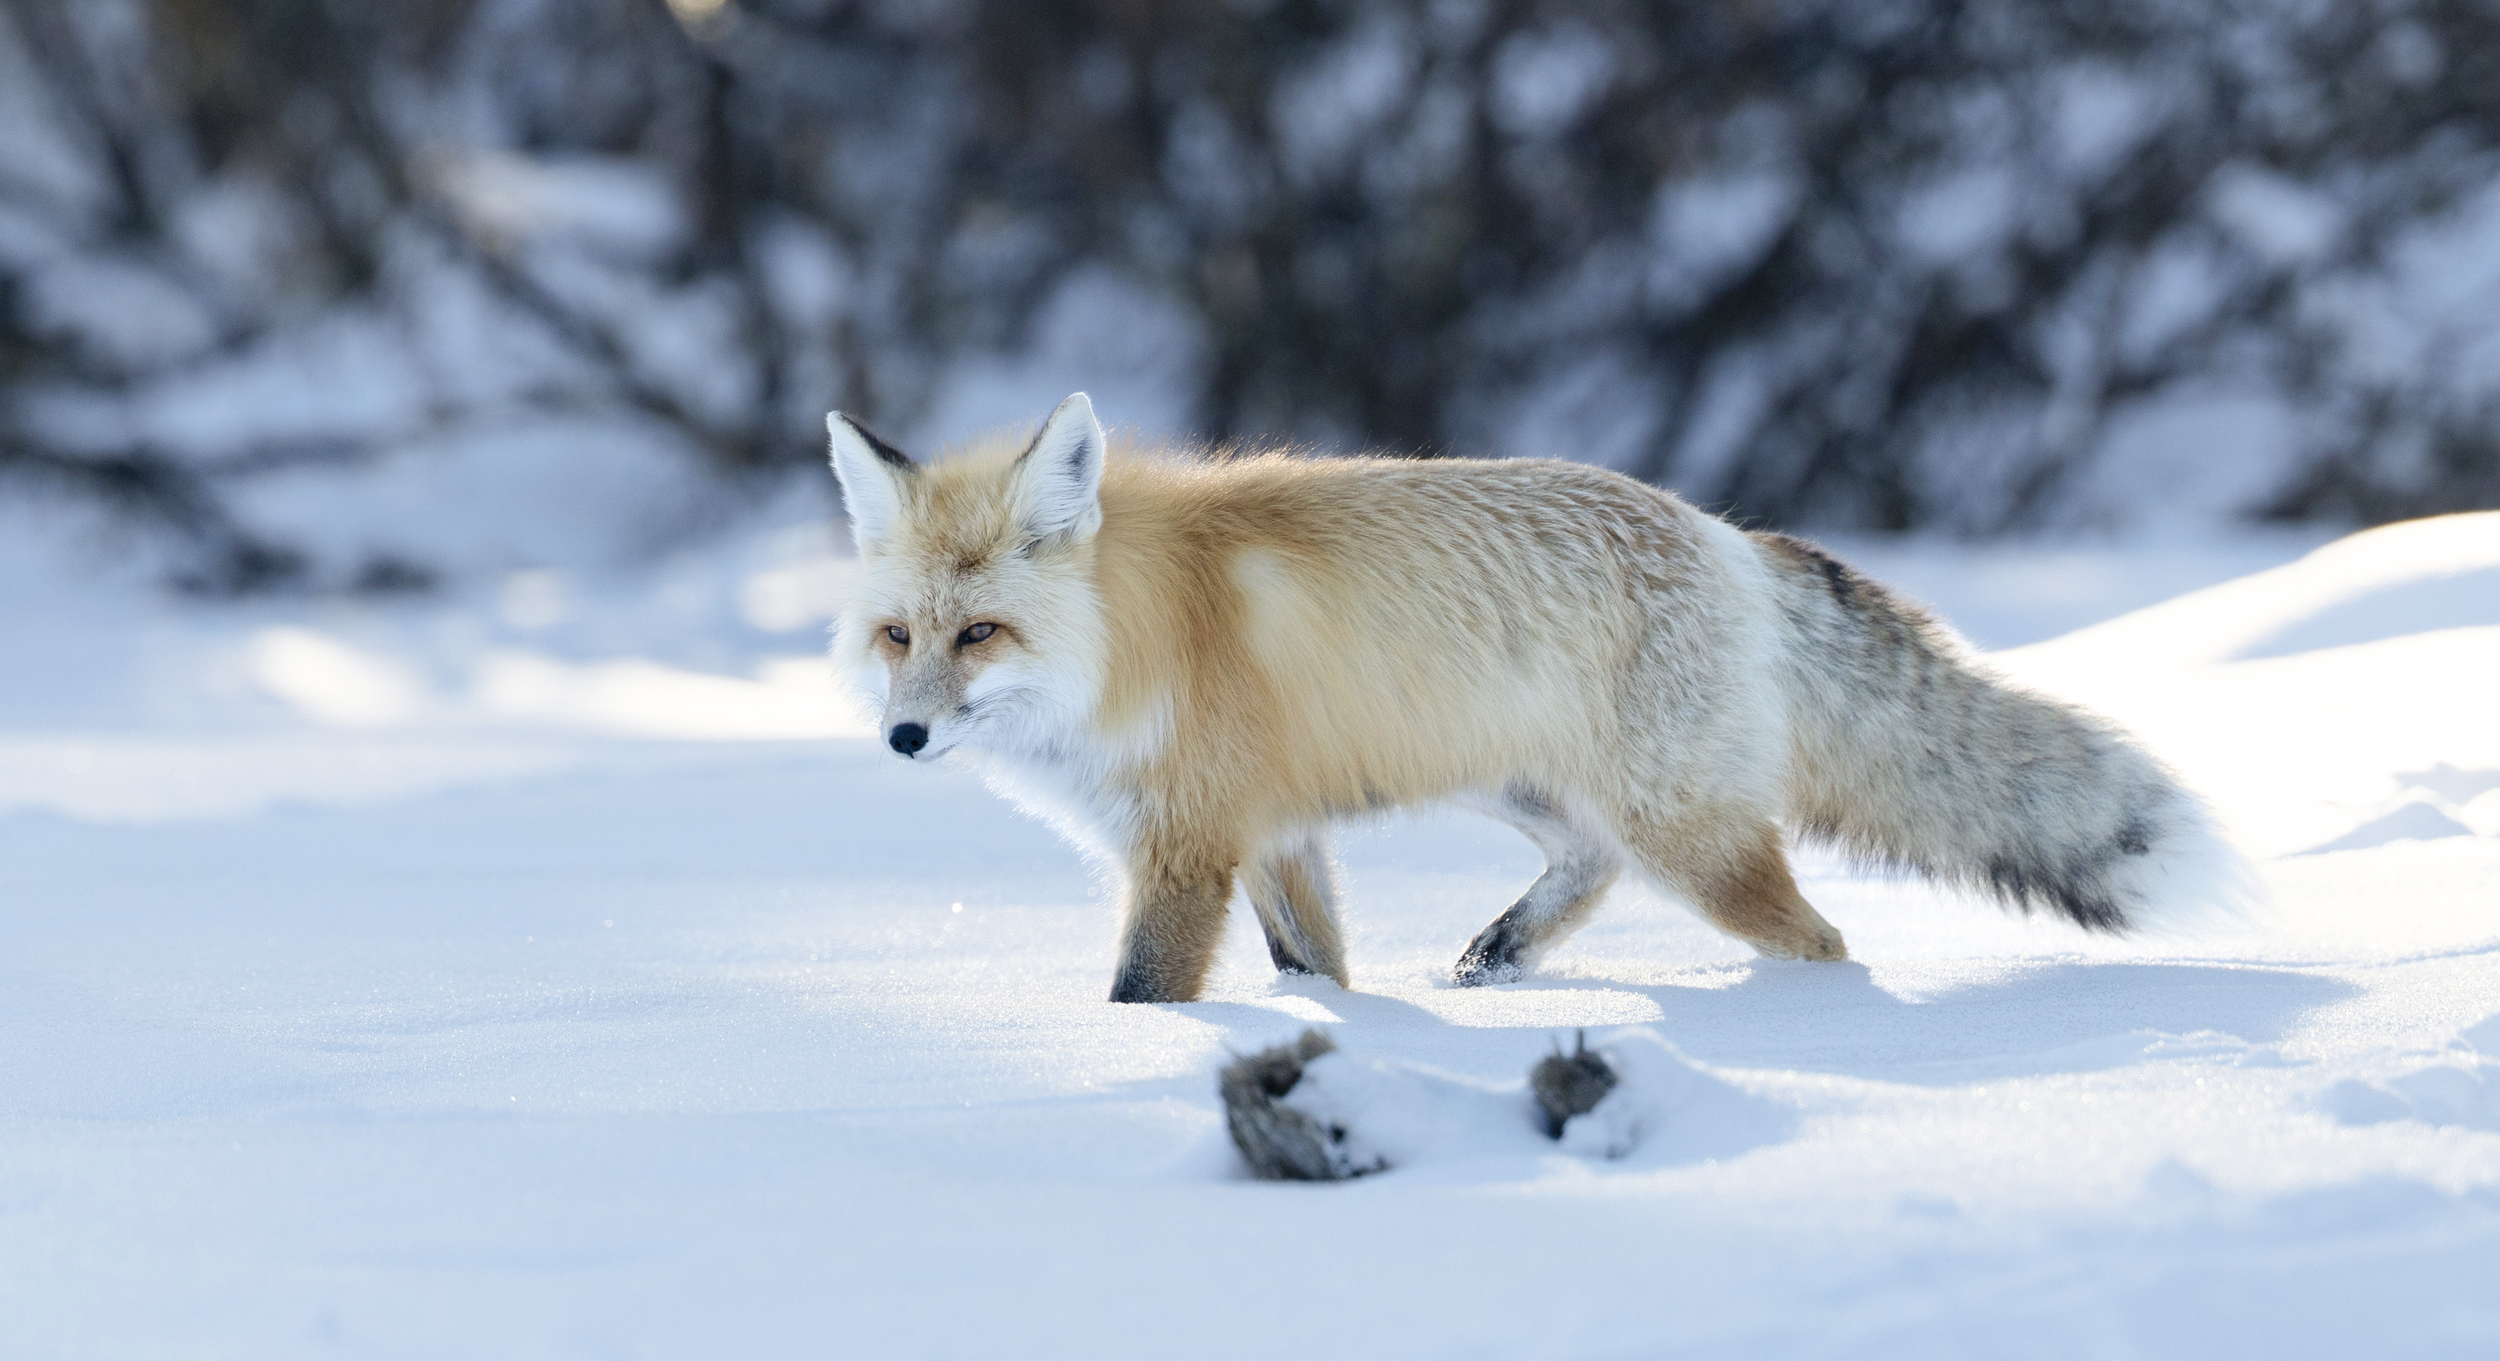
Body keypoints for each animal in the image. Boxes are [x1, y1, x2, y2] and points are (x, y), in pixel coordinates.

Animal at [827, 392, 2242, 1004]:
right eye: (899, 635)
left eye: (983, 633)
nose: (900, 736)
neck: (1137, 638)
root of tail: (1725, 533)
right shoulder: (1275, 833)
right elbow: (1317, 972)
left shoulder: (1187, 849)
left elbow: (1142, 993)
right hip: (1523, 784)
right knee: (1591, 864)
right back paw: (1499, 957)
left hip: (1692, 839)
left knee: (1821, 938)